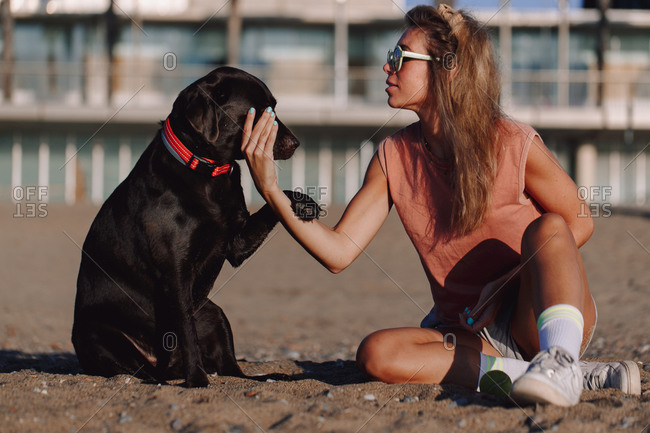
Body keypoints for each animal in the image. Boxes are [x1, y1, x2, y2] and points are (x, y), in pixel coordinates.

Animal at [71, 66, 318, 386]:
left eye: (273, 107)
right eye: (262, 111)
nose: (295, 144)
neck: (206, 170)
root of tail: (164, 364)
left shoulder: (235, 243)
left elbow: (272, 205)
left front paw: (302, 202)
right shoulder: (176, 272)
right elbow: (187, 333)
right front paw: (198, 379)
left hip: (213, 313)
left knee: (233, 370)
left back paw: (272, 376)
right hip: (97, 333)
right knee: (142, 372)